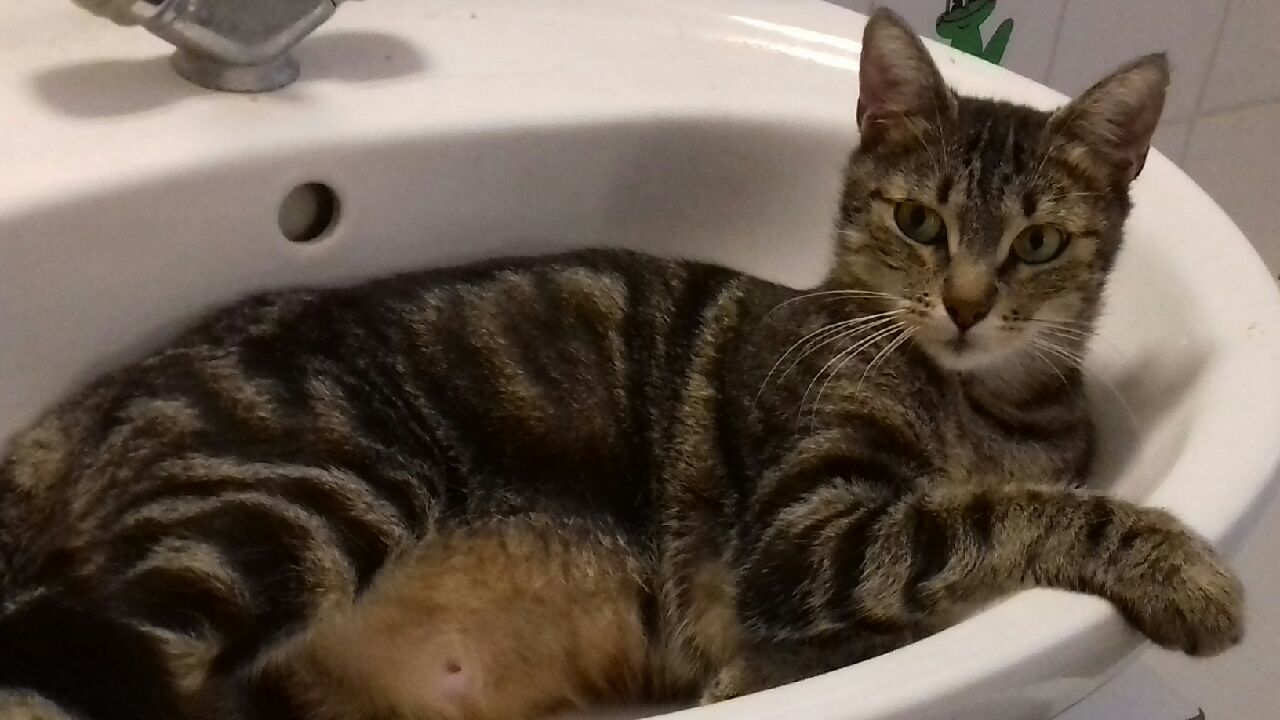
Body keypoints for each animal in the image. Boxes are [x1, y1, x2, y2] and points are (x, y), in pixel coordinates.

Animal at [0, 9, 1242, 720]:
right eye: (917, 222)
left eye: (1035, 244)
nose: (967, 305)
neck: (975, 404)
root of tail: (88, 403)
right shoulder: (810, 535)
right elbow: (1007, 513)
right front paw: (1183, 569)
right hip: (301, 503)